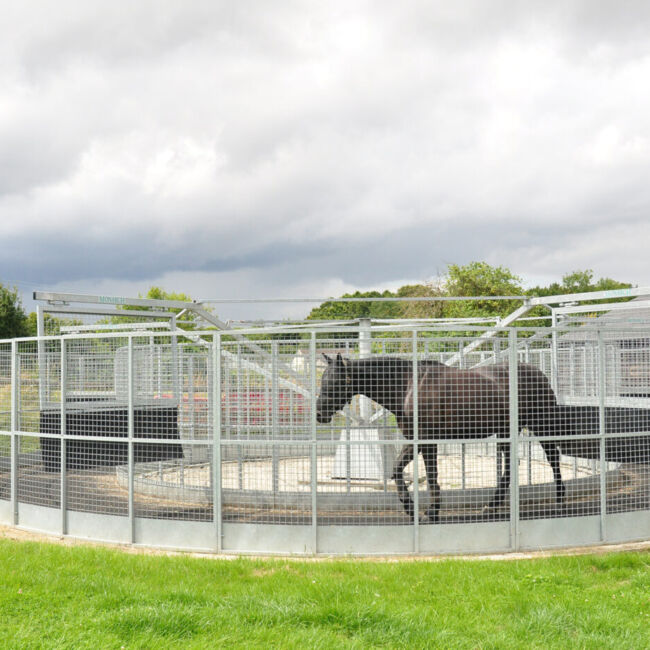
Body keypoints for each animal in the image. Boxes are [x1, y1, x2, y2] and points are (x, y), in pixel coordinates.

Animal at [315, 354, 565, 522]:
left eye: (335, 382)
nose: (319, 413)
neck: (407, 386)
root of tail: (540, 374)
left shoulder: (428, 440)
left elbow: (432, 476)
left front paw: (431, 512)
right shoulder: (414, 441)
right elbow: (396, 470)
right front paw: (411, 508)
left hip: (541, 425)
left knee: (553, 459)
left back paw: (560, 501)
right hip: (506, 431)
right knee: (512, 465)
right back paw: (492, 506)